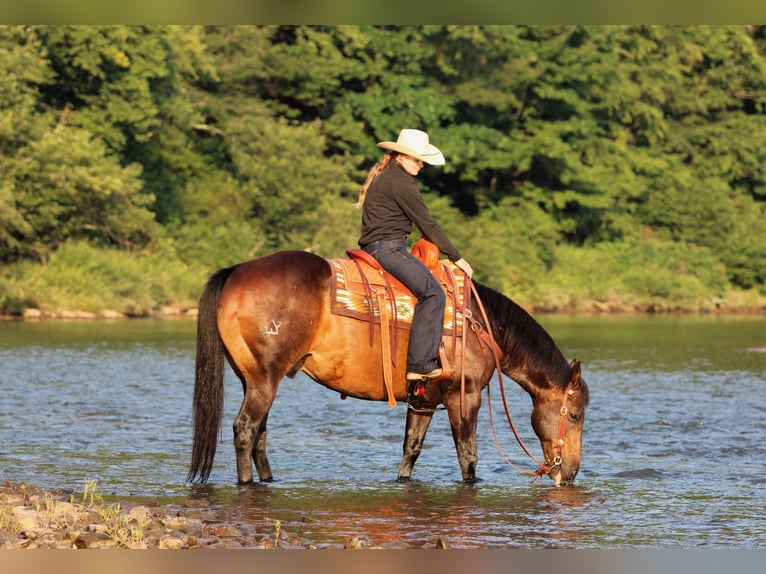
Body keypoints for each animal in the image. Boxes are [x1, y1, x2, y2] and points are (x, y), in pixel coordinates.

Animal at [187, 249, 589, 487]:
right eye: (574, 415)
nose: (570, 473)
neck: (479, 321)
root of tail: (236, 271)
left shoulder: (424, 400)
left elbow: (411, 448)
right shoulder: (465, 398)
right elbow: (468, 458)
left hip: (254, 380)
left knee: (259, 434)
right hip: (264, 381)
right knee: (244, 430)